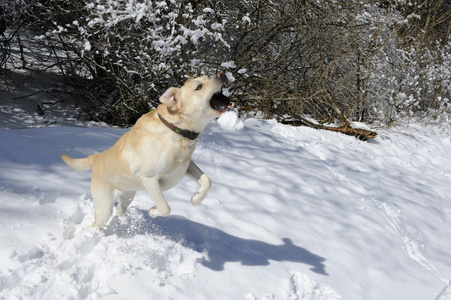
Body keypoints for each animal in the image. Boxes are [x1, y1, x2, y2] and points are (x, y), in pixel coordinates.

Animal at [62, 72, 233, 227]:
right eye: (199, 87)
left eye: (206, 77)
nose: (221, 74)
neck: (177, 130)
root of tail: (96, 157)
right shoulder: (150, 179)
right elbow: (166, 208)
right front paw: (153, 211)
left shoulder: (186, 166)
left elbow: (207, 180)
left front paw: (196, 199)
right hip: (104, 205)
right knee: (97, 223)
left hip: (128, 195)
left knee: (119, 210)